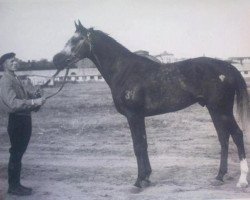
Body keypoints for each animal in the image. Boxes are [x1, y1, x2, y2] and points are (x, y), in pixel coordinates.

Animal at [52, 20, 248, 188]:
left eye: (76, 40)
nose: (56, 59)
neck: (124, 70)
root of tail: (229, 67)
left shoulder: (133, 116)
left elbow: (138, 146)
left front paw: (139, 181)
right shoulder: (139, 116)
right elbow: (143, 144)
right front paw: (146, 177)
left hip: (221, 110)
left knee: (237, 135)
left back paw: (242, 180)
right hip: (215, 110)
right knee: (224, 138)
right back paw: (220, 176)